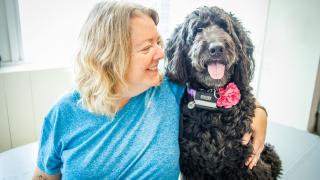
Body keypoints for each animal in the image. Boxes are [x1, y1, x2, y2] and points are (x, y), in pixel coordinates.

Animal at [166, 5, 282, 180]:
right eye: (198, 29)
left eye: (225, 28)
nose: (216, 48)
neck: (211, 98)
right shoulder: (193, 167)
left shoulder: (248, 165)